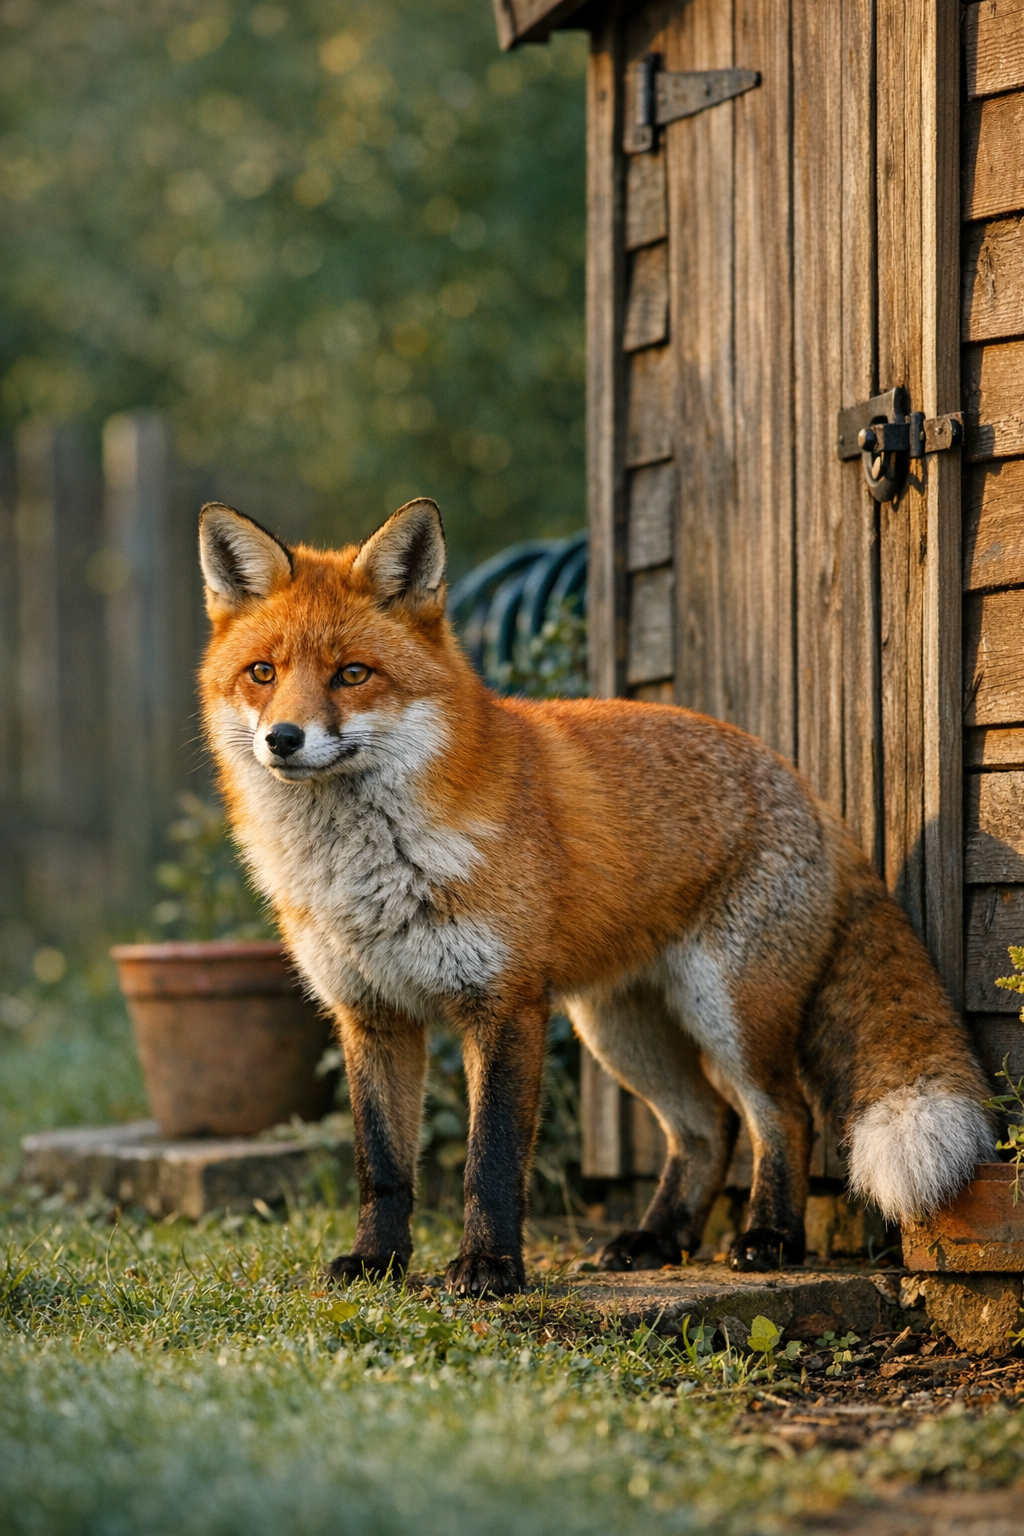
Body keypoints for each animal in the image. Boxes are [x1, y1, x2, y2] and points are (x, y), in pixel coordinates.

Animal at [198, 495, 995, 1295]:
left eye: (353, 674)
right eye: (262, 673)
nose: (283, 738)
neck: (364, 872)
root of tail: (805, 786)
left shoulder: (506, 1005)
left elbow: (491, 1161)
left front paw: (489, 1267)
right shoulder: (372, 1016)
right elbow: (383, 1165)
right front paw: (377, 1262)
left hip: (728, 1010)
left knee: (784, 1115)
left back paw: (768, 1237)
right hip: (617, 1028)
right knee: (708, 1126)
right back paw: (654, 1240)